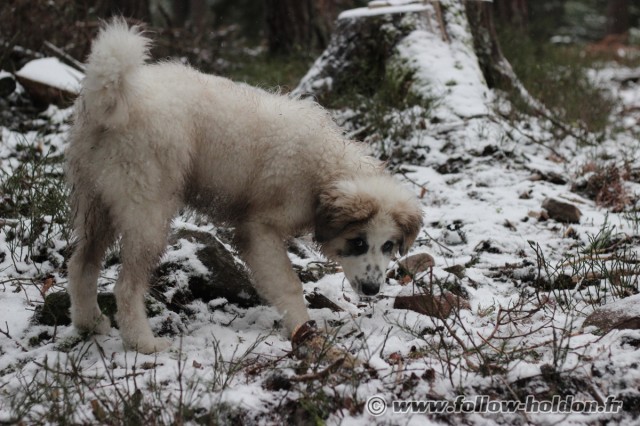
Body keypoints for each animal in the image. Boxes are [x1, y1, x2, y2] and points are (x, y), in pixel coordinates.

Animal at [66, 19, 424, 352]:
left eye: (389, 246)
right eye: (358, 242)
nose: (373, 290)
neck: (324, 168)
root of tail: (113, 99)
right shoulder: (259, 230)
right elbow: (289, 283)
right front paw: (303, 329)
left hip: (96, 203)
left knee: (81, 264)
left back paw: (89, 323)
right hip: (148, 212)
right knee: (126, 286)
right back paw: (143, 343)